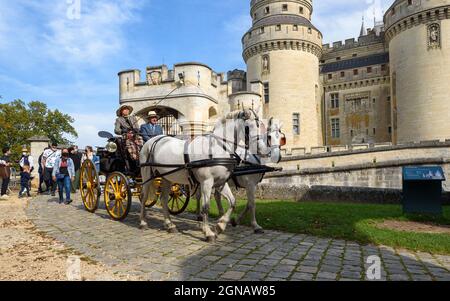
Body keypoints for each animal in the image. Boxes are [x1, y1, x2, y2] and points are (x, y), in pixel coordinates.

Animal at [140, 109, 260, 241]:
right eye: (250, 126)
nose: (259, 147)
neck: (217, 148)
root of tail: (153, 140)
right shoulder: (206, 182)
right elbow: (205, 207)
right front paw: (208, 232)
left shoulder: (221, 182)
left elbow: (232, 202)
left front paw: (220, 226)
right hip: (146, 175)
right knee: (144, 197)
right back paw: (143, 222)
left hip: (167, 178)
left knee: (164, 199)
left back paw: (170, 225)